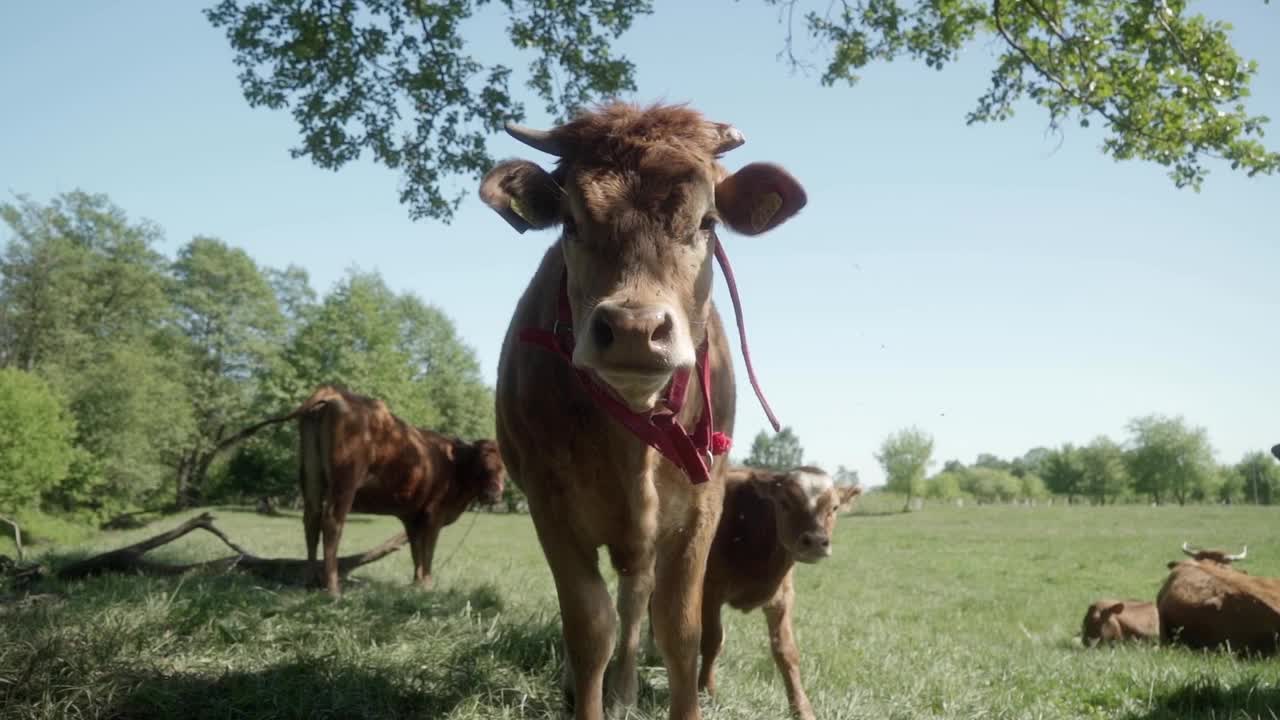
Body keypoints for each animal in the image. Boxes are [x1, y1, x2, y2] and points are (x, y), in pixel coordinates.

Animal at [227, 386, 506, 594]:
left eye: (505, 467)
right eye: (481, 463)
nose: (494, 494)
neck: (453, 466)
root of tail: (336, 393)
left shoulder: (412, 516)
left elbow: (416, 549)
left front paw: (416, 582)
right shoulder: (433, 514)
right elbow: (428, 549)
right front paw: (427, 582)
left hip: (311, 478)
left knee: (311, 520)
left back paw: (310, 582)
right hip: (345, 482)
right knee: (332, 522)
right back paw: (332, 588)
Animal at [483, 101, 803, 717]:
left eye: (707, 223)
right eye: (571, 222)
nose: (634, 329)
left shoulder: (703, 504)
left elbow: (679, 630)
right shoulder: (547, 501)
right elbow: (589, 627)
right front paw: (584, 695)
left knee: (635, 601)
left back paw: (627, 688)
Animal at [696, 466, 865, 717]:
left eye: (834, 507)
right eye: (784, 502)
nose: (816, 540)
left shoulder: (783, 597)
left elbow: (786, 652)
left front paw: (802, 709)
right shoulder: (710, 590)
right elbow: (712, 640)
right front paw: (705, 690)